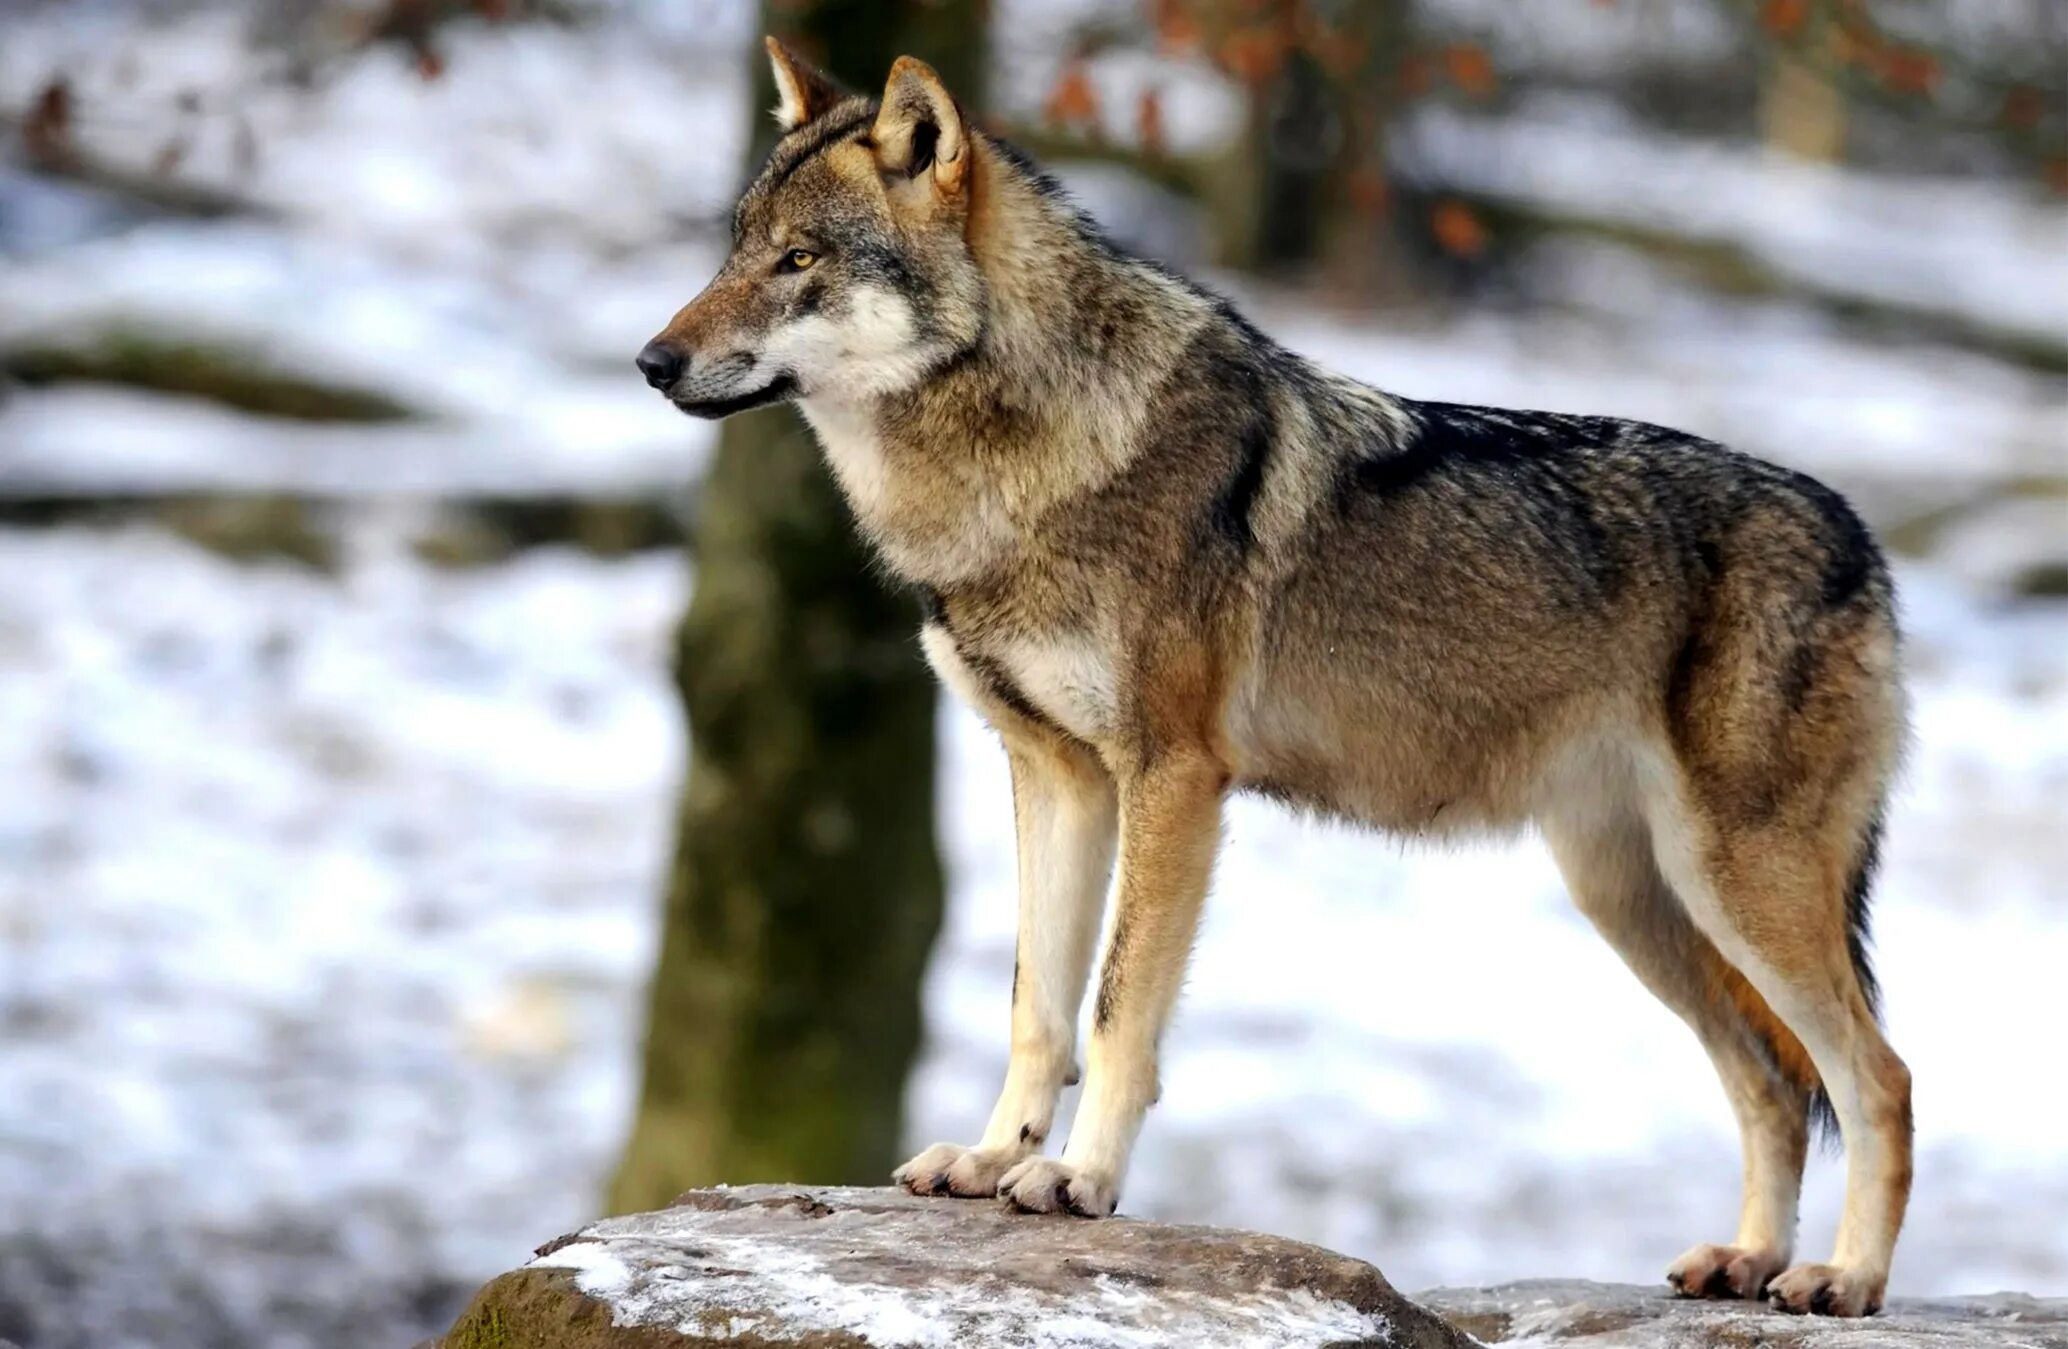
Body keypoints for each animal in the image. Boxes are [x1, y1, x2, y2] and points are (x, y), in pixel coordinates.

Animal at [636, 39, 1910, 1315]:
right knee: (1770, 1083)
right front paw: (995, 1157)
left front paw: (1078, 1180)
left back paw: (1841, 1277)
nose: (651, 362)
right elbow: (1036, 1006)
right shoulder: (1056, 775)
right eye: (734, 246)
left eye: (800, 260)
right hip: (1637, 898)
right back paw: (1746, 1259)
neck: (1023, 464)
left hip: (1734, 884)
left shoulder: (1173, 778)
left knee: (1877, 1076)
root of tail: (1864, 543)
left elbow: (1116, 1007)